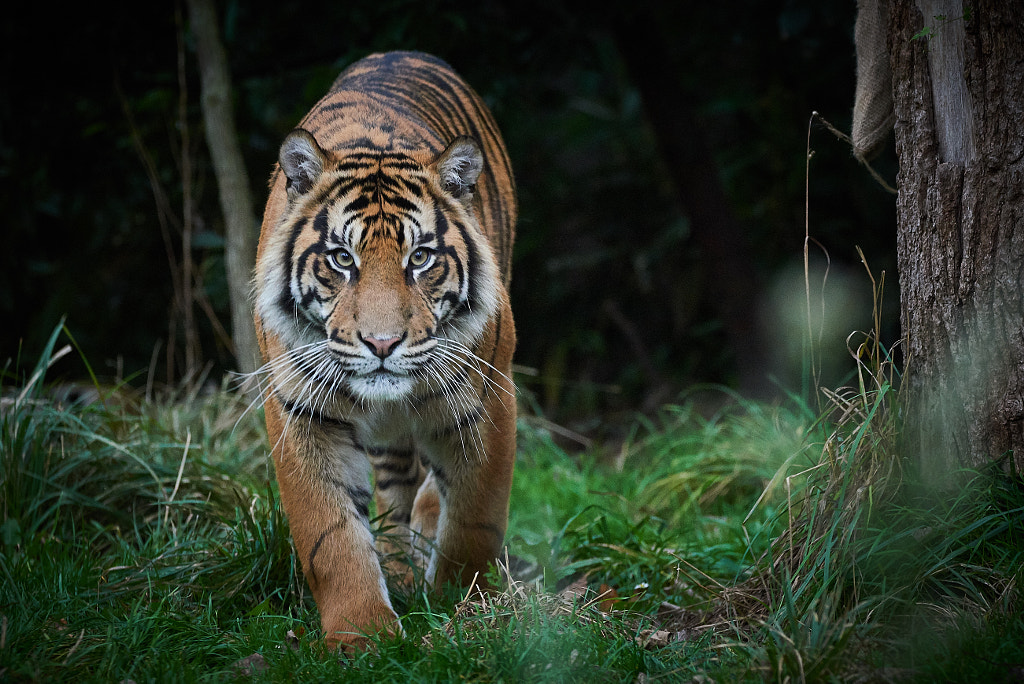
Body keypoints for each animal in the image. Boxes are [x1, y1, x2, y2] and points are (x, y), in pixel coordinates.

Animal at [251, 50, 516, 651]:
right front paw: (362, 637)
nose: (382, 343)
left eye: (420, 258)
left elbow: (474, 519)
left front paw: (464, 609)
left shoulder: (489, 399)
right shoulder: (302, 412)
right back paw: (398, 566)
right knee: (397, 489)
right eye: (341, 259)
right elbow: (331, 535)